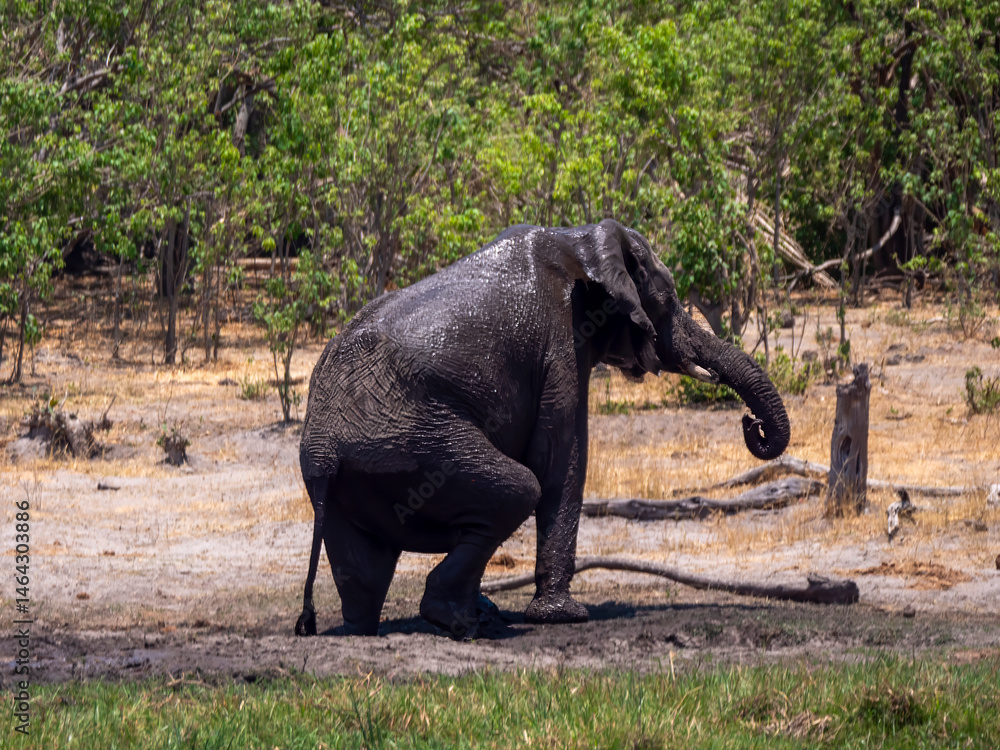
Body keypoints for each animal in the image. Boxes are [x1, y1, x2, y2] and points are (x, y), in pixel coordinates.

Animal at [295, 219, 789, 638]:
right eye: (666, 299)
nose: (751, 424)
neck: (580, 241)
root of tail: (323, 450)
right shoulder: (561, 343)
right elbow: (560, 459)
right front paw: (564, 616)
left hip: (354, 478)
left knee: (365, 565)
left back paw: (380, 627)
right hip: (414, 443)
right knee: (517, 489)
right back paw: (460, 623)